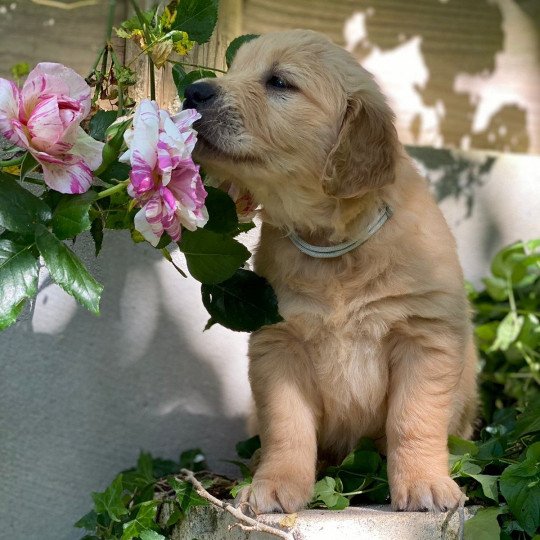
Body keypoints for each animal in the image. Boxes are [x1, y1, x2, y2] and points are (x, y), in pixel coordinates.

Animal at [185, 30, 476, 516]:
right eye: (236, 70)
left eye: (279, 81)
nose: (192, 92)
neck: (334, 247)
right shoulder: (279, 343)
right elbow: (287, 426)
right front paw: (274, 484)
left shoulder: (425, 337)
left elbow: (413, 420)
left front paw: (424, 483)